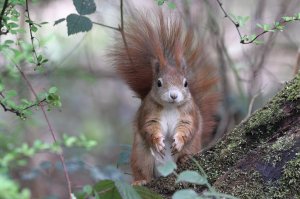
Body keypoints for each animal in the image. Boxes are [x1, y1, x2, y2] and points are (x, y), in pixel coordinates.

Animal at [109, 10, 218, 185]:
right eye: (159, 83)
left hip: (192, 147)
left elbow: (187, 128)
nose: (173, 95)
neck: (170, 107)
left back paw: (185, 158)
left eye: (186, 83)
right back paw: (140, 181)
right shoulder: (149, 112)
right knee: (143, 171)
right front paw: (158, 142)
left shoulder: (189, 114)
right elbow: (149, 127)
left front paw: (178, 141)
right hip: (141, 156)